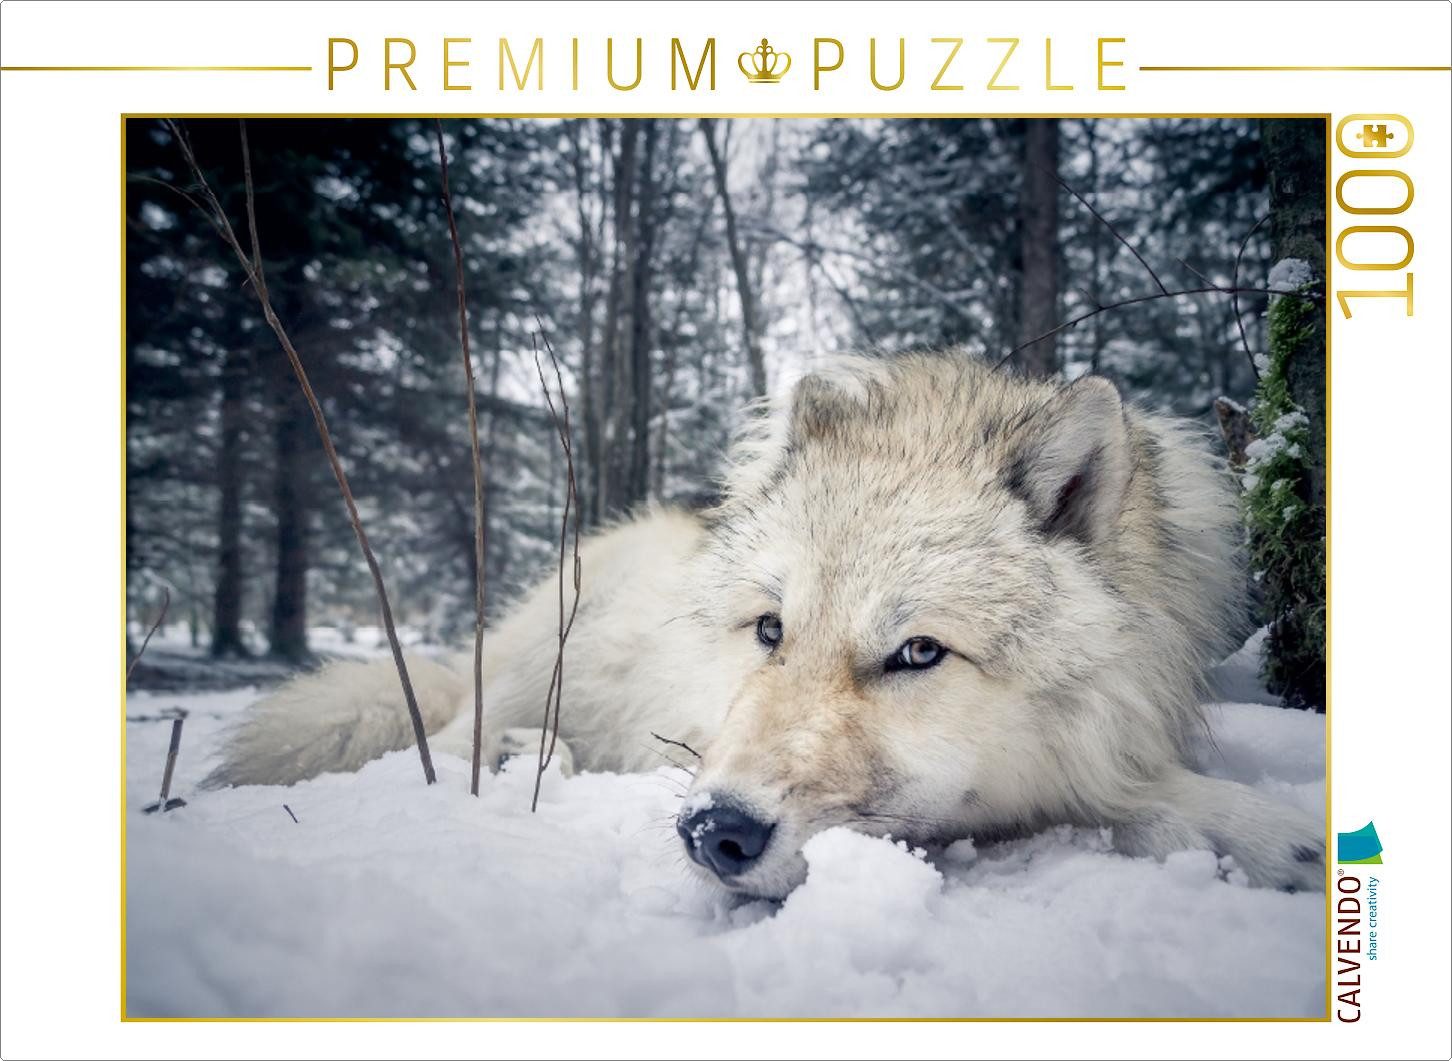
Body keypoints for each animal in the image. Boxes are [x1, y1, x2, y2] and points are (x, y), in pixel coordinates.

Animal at [205, 352, 1325, 898]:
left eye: (918, 652)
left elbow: (1138, 803)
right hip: (537, 654)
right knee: (448, 735)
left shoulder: (1079, 770)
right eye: (771, 630)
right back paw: (526, 751)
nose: (715, 831)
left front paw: (1276, 839)